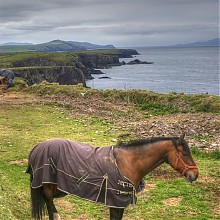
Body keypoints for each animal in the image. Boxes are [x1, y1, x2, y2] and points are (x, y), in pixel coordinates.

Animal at [26, 133, 199, 219]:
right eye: (184, 153)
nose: (195, 174)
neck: (129, 163)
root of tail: (37, 148)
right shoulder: (115, 202)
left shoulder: (120, 204)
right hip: (48, 186)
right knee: (48, 202)